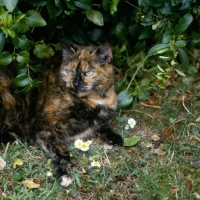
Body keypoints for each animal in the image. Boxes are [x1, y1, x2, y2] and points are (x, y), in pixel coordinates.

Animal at [0, 42, 123, 188]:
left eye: (89, 73)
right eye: (69, 72)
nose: (75, 84)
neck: (94, 101)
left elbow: (103, 125)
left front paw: (114, 137)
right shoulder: (47, 125)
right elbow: (60, 150)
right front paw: (65, 173)